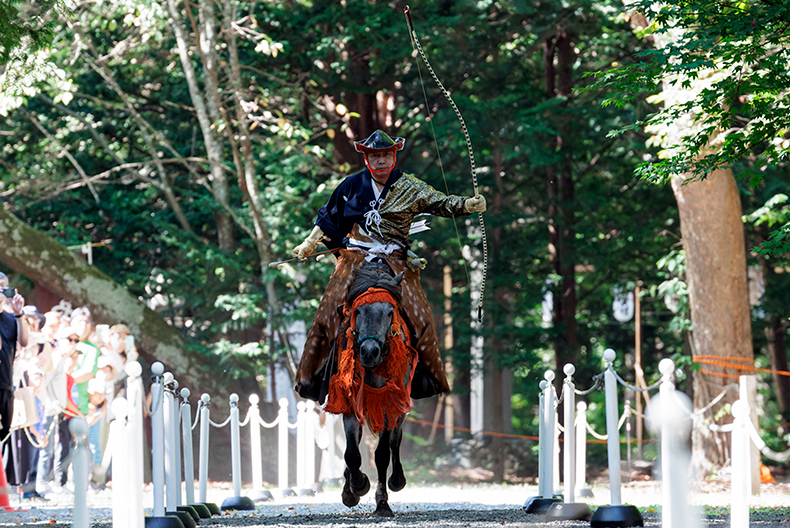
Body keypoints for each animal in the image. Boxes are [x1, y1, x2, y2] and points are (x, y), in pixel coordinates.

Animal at [323, 262, 418, 517]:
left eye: (389, 312)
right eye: (357, 311)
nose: (369, 352)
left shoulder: (387, 405)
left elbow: (382, 453)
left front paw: (382, 503)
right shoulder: (349, 404)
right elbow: (351, 453)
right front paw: (355, 487)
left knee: (395, 440)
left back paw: (397, 480)